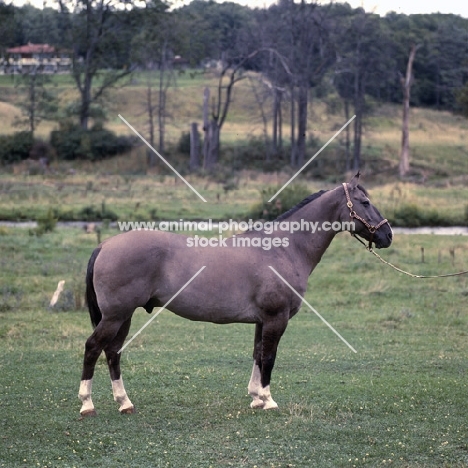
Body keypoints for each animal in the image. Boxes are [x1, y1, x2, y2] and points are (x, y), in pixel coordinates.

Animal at [77, 174, 392, 414]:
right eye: (365, 203)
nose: (387, 235)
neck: (284, 249)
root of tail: (105, 245)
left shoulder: (262, 320)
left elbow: (257, 354)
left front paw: (255, 397)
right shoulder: (276, 319)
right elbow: (269, 357)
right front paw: (268, 400)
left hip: (123, 317)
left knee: (113, 352)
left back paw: (124, 402)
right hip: (115, 316)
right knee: (93, 348)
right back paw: (87, 404)